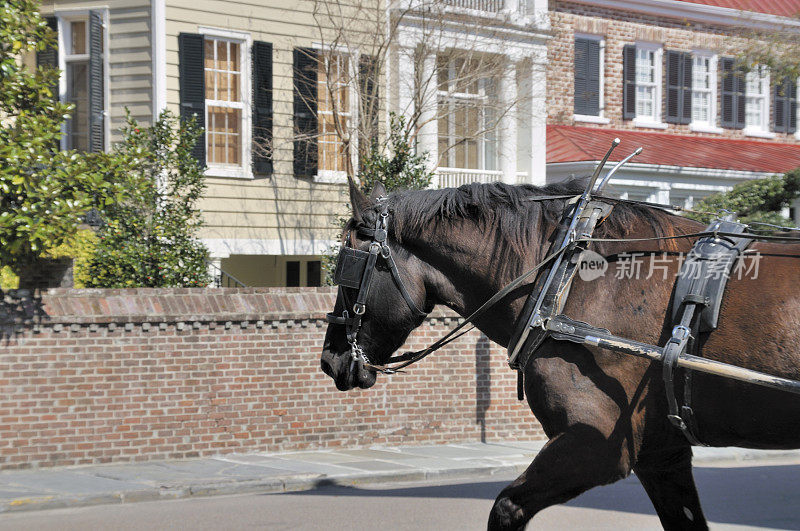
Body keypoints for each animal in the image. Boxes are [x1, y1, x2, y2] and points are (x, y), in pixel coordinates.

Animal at [318, 180, 800, 531]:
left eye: (346, 267)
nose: (328, 359)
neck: (567, 277)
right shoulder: (662, 456)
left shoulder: (596, 445)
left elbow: (505, 508)